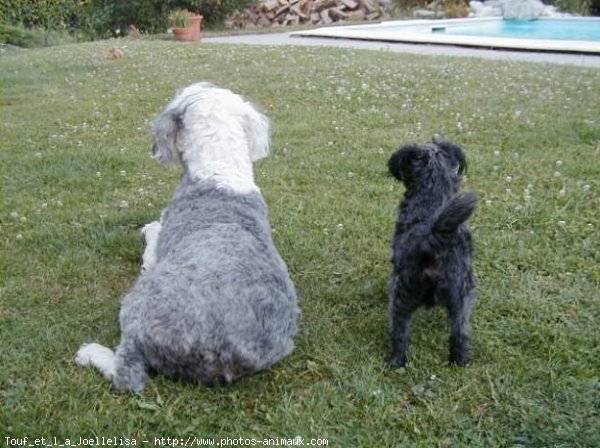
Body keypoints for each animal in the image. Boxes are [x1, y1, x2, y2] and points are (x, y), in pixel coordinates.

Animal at [75, 82, 300, 390]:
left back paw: (91, 353)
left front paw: (150, 227)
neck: (220, 168)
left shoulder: (155, 255)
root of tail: (223, 353)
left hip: (137, 304)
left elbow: (153, 238)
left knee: (125, 375)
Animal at [390, 137, 478, 368]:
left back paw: (395, 361)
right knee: (460, 333)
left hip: (401, 294)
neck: (432, 196)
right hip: (462, 298)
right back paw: (459, 360)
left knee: (399, 333)